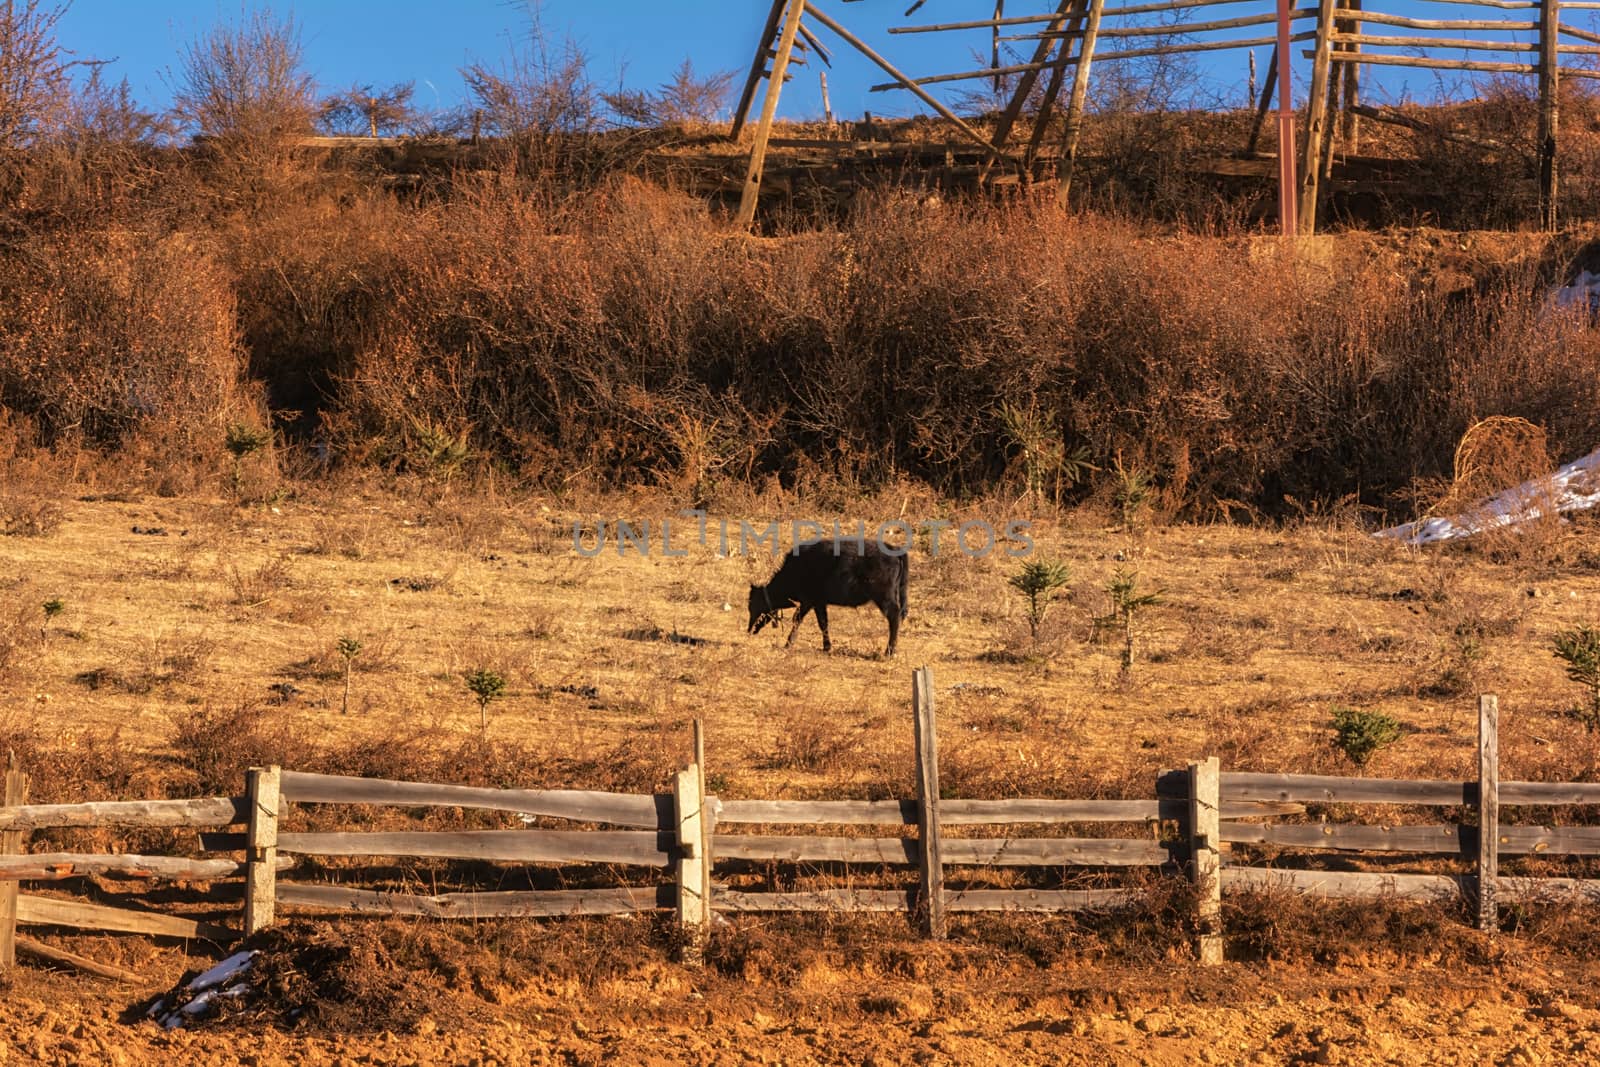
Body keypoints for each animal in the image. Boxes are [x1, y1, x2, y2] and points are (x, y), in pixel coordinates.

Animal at [745, 547, 908, 655]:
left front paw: (788, 644)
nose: (749, 630)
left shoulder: (808, 601)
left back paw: (889, 652)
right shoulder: (819, 603)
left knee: (894, 617)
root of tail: (894, 550)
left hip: (884, 598)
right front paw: (826, 647)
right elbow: (823, 623)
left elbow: (797, 619)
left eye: (755, 604)